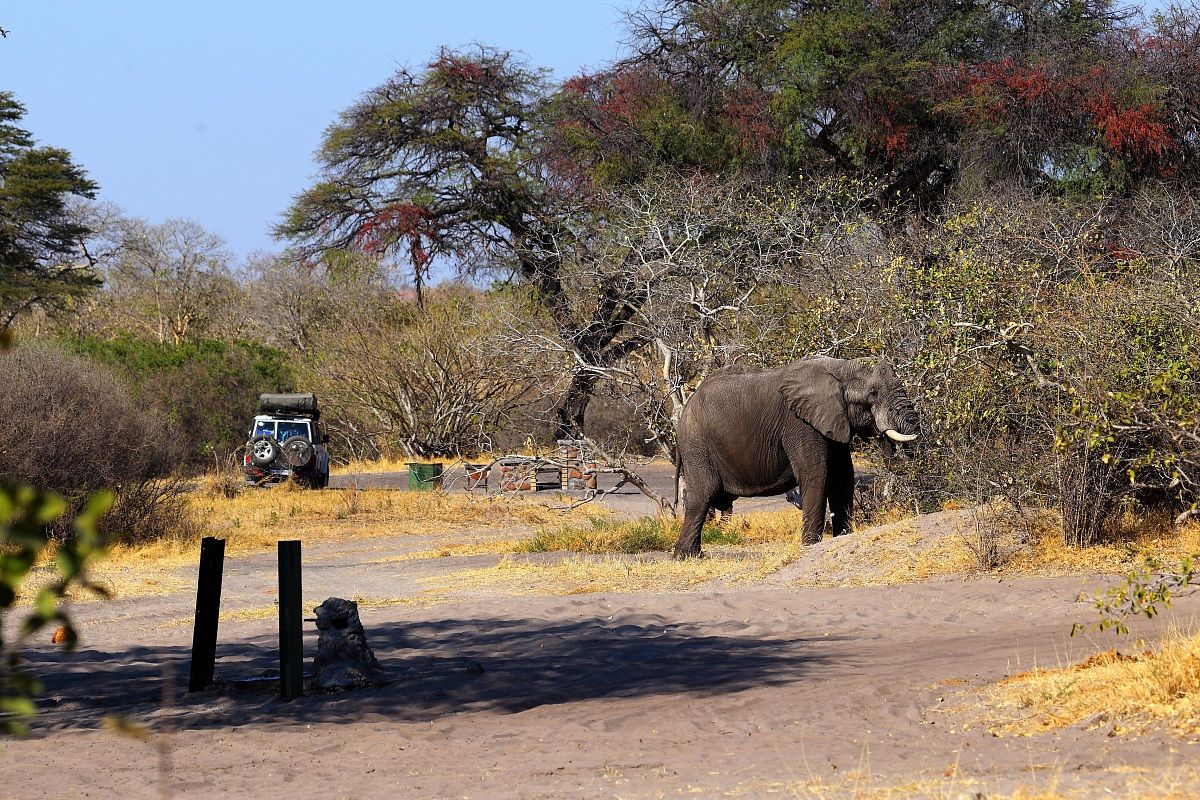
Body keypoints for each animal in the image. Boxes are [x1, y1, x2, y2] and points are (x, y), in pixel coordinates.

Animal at [672, 356, 920, 558]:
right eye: (873, 393)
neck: (841, 368)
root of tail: (685, 409)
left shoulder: (832, 422)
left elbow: (842, 479)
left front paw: (842, 537)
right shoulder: (800, 424)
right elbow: (816, 476)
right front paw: (810, 546)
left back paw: (695, 555)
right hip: (697, 444)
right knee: (702, 496)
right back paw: (686, 557)